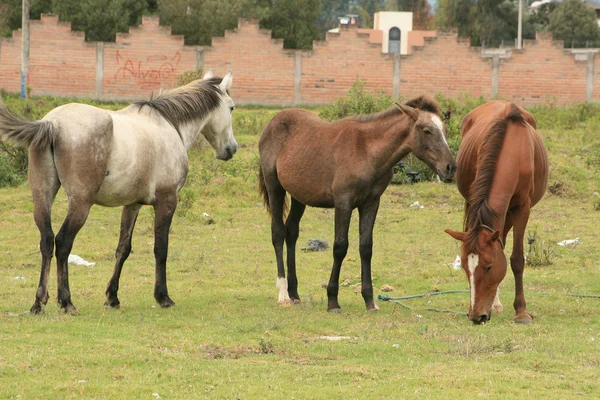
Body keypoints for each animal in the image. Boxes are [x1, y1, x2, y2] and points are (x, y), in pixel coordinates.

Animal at [0, 70, 239, 314]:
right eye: (231, 107)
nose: (232, 148)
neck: (170, 125)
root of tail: (53, 123)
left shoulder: (132, 204)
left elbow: (123, 248)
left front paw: (112, 297)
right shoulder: (167, 201)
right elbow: (160, 249)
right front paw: (163, 297)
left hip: (42, 196)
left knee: (47, 241)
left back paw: (39, 302)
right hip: (81, 203)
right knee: (63, 242)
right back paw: (66, 301)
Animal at [256, 97, 454, 312]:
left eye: (444, 129)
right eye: (426, 130)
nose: (450, 168)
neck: (366, 150)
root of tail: (273, 122)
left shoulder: (371, 203)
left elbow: (366, 247)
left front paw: (370, 301)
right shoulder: (344, 203)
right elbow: (340, 247)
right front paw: (333, 301)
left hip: (299, 196)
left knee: (291, 232)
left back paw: (295, 294)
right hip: (275, 186)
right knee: (278, 233)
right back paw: (283, 294)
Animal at [446, 100, 548, 324]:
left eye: (489, 267)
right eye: (465, 267)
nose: (476, 316)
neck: (513, 152)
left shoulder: (522, 208)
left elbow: (517, 259)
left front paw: (521, 311)